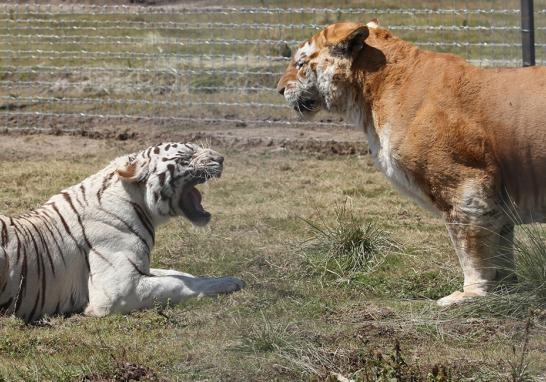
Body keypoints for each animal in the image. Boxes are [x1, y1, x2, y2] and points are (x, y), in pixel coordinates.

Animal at [0, 142, 244, 320]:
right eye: (186, 157)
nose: (221, 158)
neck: (140, 204)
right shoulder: (118, 291)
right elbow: (178, 284)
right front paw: (230, 283)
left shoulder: (139, 268)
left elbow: (175, 273)